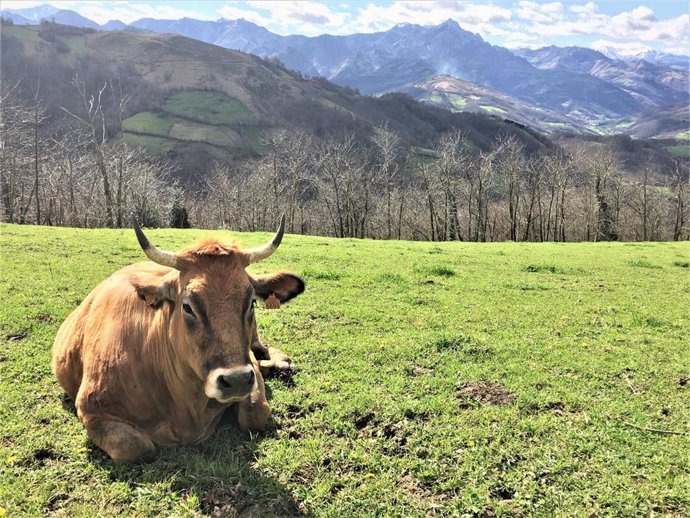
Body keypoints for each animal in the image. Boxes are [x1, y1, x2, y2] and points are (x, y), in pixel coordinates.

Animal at [51, 216, 304, 464]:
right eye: (187, 306)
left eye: (251, 302)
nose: (237, 380)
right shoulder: (91, 410)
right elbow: (137, 447)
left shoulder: (249, 369)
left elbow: (254, 413)